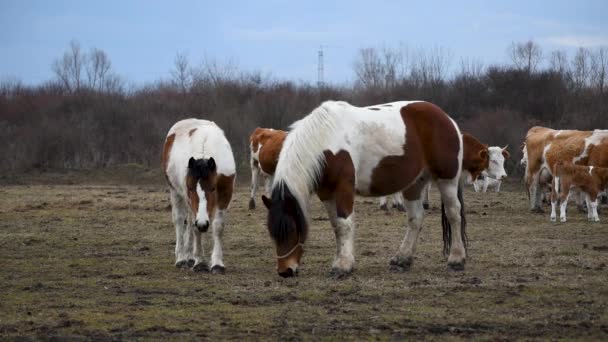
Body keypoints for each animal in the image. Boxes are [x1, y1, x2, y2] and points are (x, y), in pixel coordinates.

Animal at [160, 119, 236, 274]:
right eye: (190, 188)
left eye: (213, 188)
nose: (202, 223)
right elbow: (195, 228)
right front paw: (200, 262)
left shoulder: (225, 194)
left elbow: (218, 226)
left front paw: (217, 264)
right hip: (175, 192)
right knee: (180, 220)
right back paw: (181, 258)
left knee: (189, 222)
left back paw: (189, 256)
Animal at [260, 101, 466, 278]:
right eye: (272, 232)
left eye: (293, 229)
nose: (285, 271)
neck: (326, 140)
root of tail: (446, 118)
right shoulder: (326, 192)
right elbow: (336, 226)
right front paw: (342, 261)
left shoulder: (343, 187)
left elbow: (344, 223)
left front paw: (343, 266)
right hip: (414, 184)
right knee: (416, 219)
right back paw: (402, 259)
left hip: (447, 180)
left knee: (453, 213)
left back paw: (456, 259)